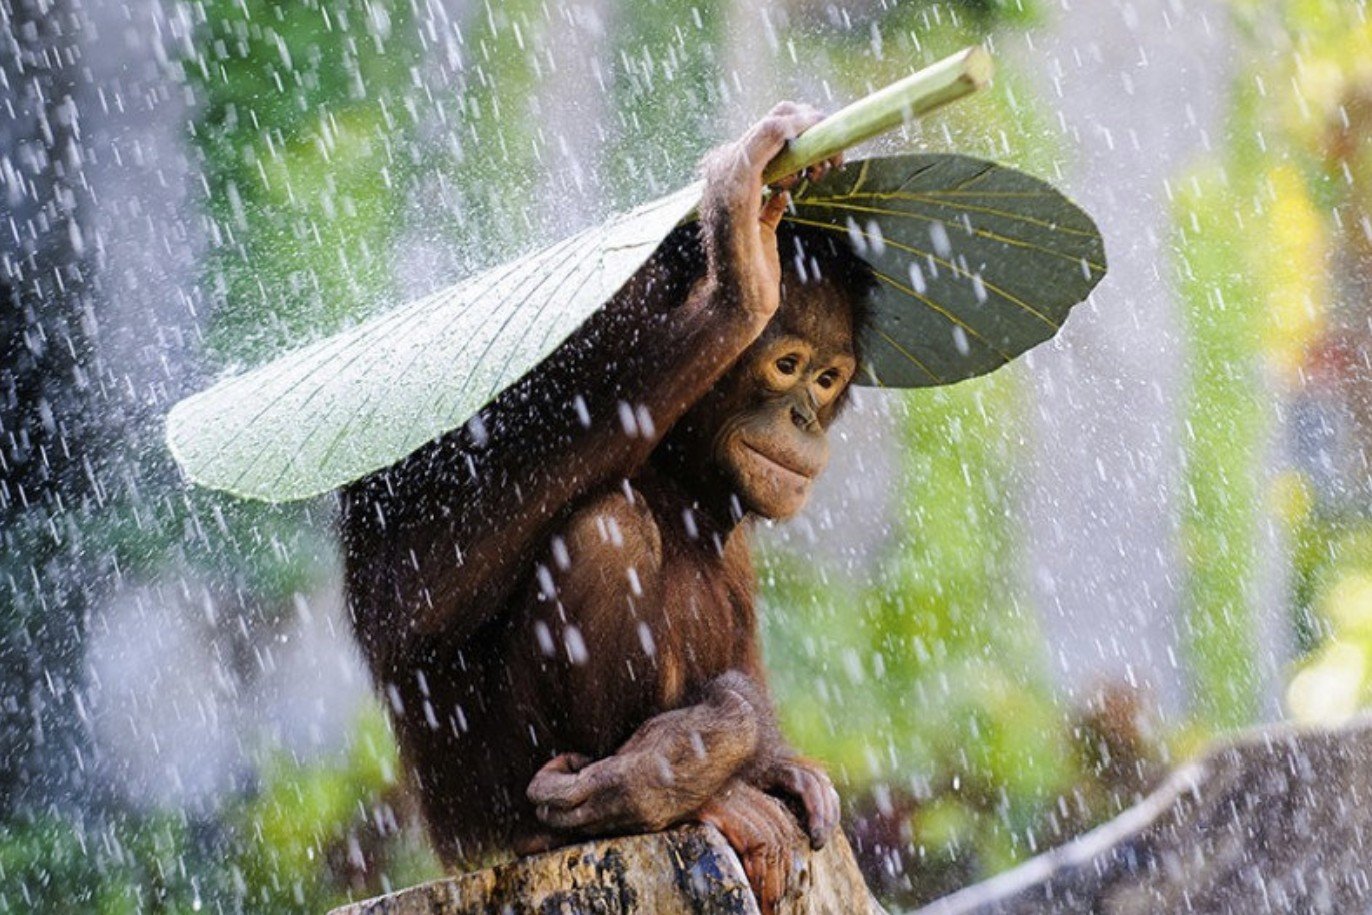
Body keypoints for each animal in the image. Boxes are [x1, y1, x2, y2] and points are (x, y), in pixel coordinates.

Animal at [340, 103, 875, 913]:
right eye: (786, 364)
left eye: (827, 377)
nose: (804, 418)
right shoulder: (577, 332)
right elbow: (402, 591)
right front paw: (738, 273)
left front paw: (765, 758)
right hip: (496, 804)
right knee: (605, 528)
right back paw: (668, 797)